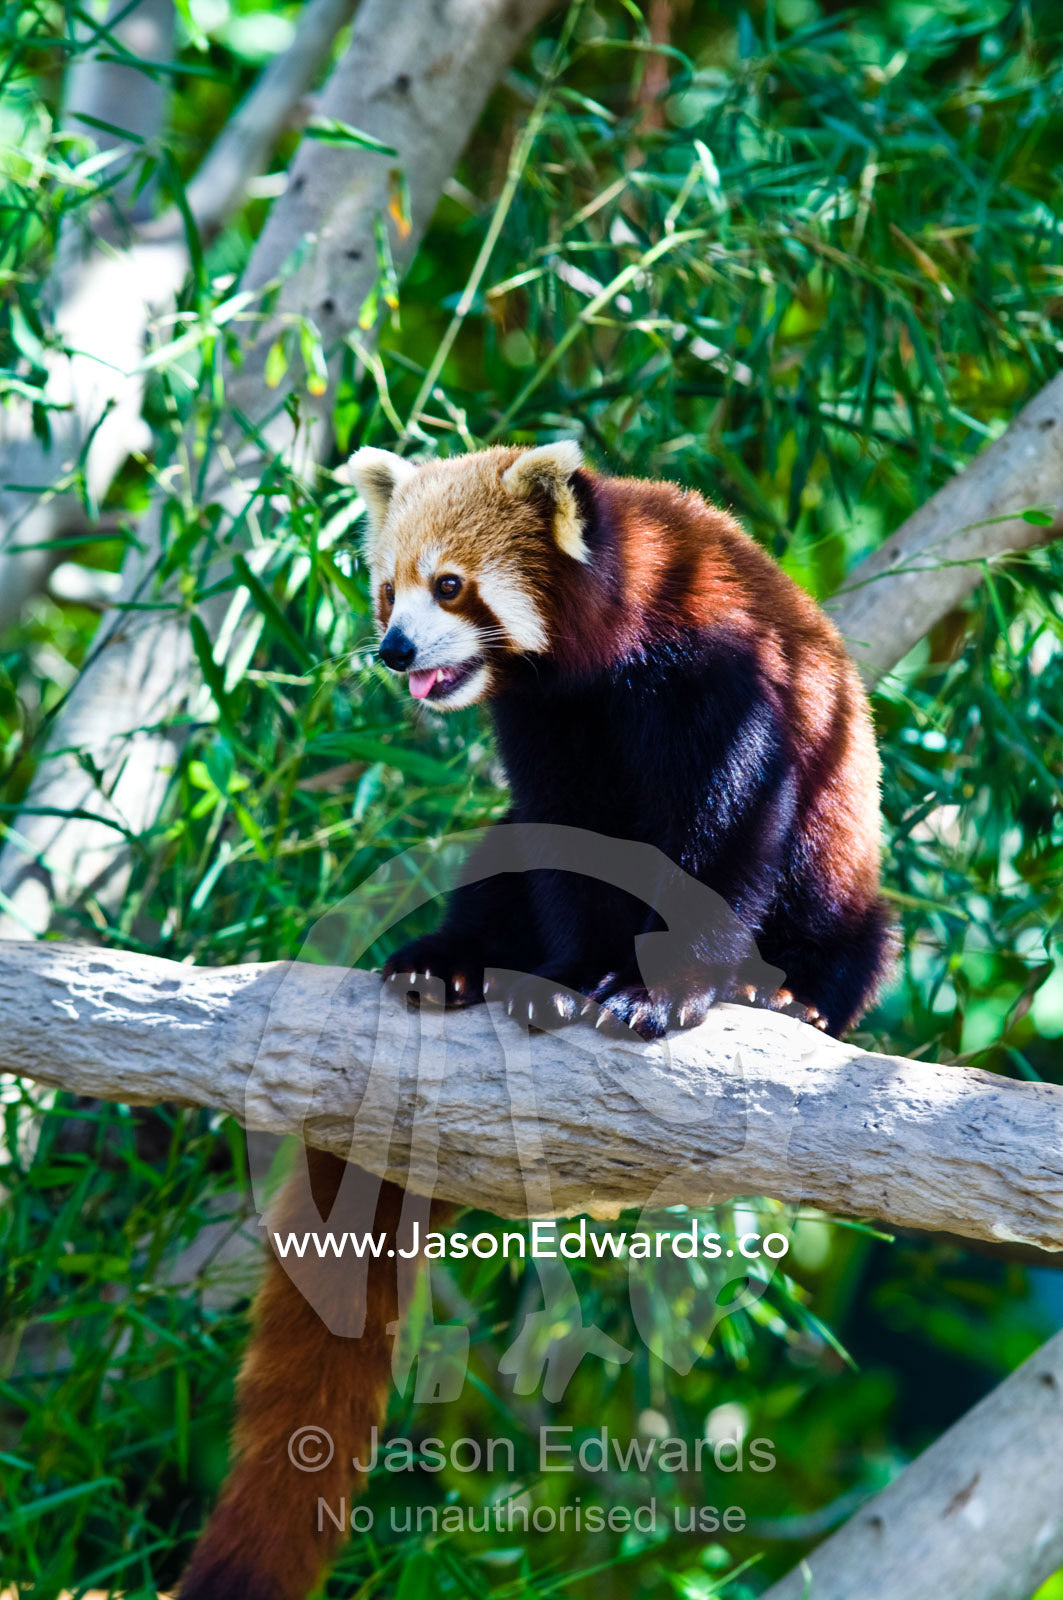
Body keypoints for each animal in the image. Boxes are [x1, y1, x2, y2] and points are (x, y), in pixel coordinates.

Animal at [178, 442, 893, 1600]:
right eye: (389, 588)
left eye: (451, 585)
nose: (392, 649)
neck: (601, 662)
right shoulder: (549, 733)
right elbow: (561, 846)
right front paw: (551, 980)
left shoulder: (726, 687)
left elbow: (720, 836)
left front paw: (665, 990)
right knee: (497, 862)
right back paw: (449, 962)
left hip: (848, 883)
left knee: (849, 934)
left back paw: (783, 994)